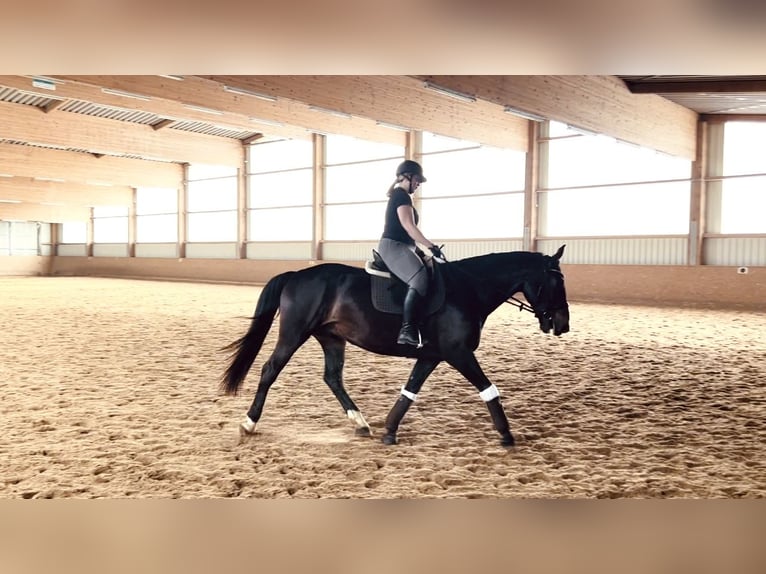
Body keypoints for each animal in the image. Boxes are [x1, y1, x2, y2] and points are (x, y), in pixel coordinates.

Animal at [222, 245, 568, 448]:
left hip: (331, 338)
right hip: (294, 333)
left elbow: (409, 391)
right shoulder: (458, 353)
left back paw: (361, 424)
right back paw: (248, 423)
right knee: (270, 370)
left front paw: (389, 430)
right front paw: (507, 435)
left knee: (332, 377)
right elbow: (488, 389)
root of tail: (296, 274)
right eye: (557, 282)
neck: (467, 289)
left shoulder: (432, 356)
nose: (563, 324)